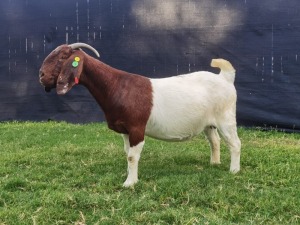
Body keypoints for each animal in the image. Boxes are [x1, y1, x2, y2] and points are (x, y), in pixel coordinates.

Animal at [39, 43, 241, 187]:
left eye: (63, 57)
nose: (41, 76)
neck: (117, 86)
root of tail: (225, 77)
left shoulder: (136, 127)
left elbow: (132, 156)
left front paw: (129, 183)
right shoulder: (125, 130)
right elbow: (127, 152)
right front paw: (130, 175)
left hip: (226, 118)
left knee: (235, 143)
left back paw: (234, 170)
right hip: (209, 123)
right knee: (215, 141)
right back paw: (214, 163)